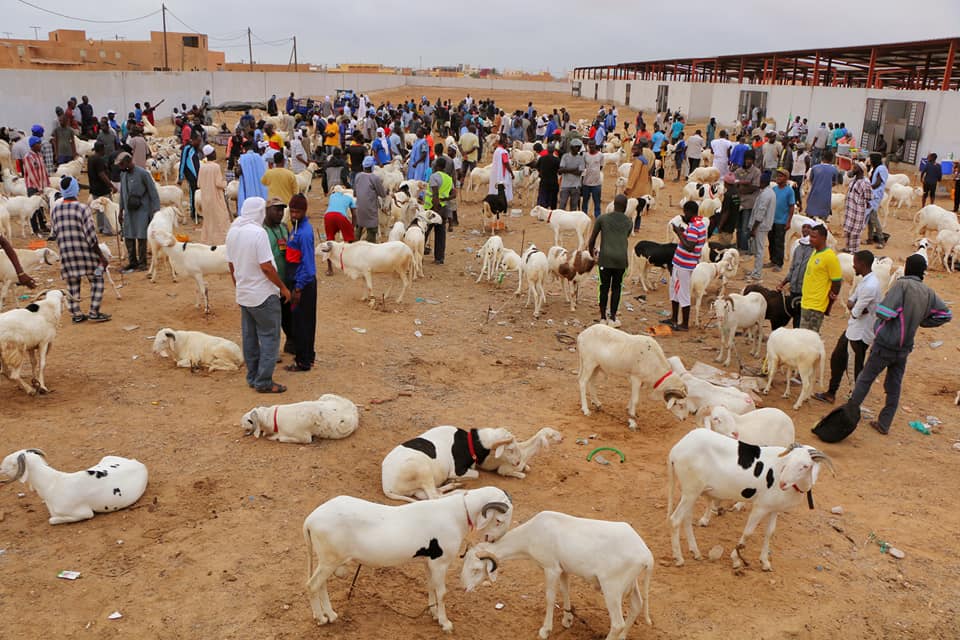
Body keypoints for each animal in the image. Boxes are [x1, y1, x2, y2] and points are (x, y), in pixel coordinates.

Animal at [0, 450, 148, 524]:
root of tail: (139, 464)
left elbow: (51, 520)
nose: (0, 467)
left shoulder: (85, 513)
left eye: (11, 463)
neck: (53, 483)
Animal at [378, 428, 520, 502]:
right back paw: (460, 491)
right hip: (422, 469)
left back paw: (454, 485)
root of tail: (386, 486)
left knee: (427, 495)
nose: (518, 462)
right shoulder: (457, 470)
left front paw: (453, 481)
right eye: (510, 449)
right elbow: (476, 473)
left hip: (417, 486)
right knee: (434, 497)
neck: (471, 442)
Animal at [464, 510, 656, 640]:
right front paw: (567, 619)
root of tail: (647, 555)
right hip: (631, 583)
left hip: (612, 589)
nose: (466, 589)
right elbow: (565, 590)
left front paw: (545, 630)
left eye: (476, 569)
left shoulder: (551, 569)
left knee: (617, 623)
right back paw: (623, 636)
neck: (530, 534)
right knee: (637, 605)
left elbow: (550, 598)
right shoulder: (563, 569)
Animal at [668, 430, 832, 568]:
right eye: (788, 461)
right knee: (675, 520)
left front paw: (764, 561)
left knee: (686, 519)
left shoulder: (774, 509)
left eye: (805, 466)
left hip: (691, 492)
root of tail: (676, 449)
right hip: (691, 490)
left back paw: (695, 552)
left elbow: (770, 532)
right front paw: (736, 557)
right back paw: (679, 558)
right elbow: (748, 532)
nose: (782, 483)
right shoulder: (761, 507)